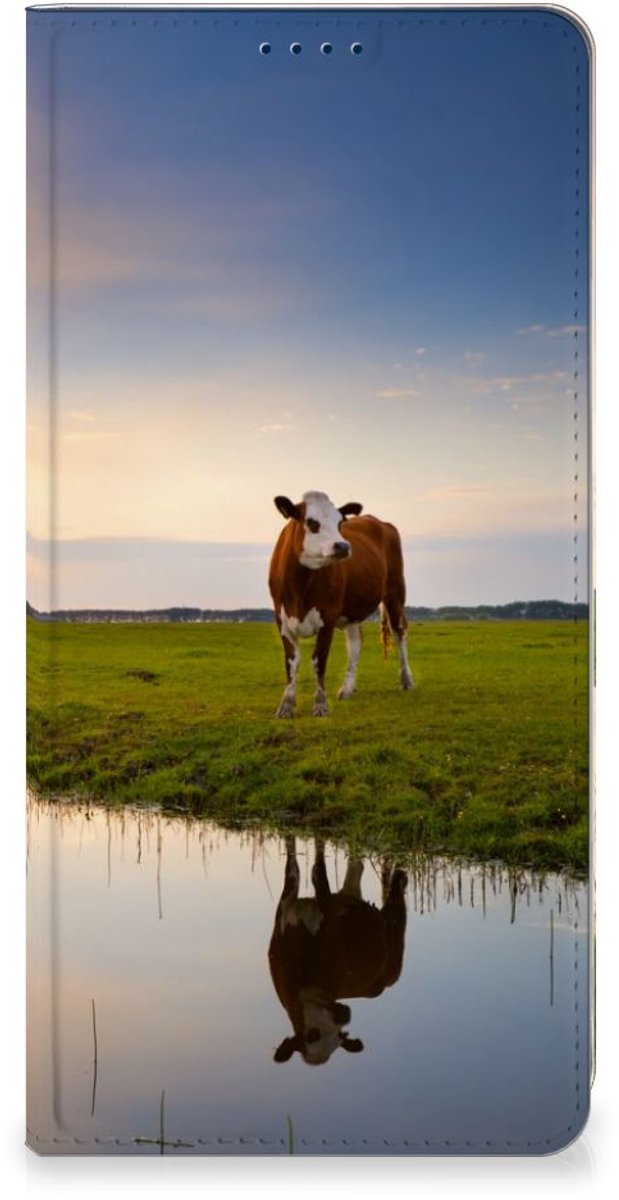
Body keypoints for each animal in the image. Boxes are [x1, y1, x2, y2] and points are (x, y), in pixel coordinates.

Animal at [268, 490, 414, 717]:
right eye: (311, 522)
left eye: (339, 523)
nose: (343, 546)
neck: (299, 587)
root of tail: (381, 522)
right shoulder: (282, 619)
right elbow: (291, 662)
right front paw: (286, 705)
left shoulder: (327, 617)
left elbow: (319, 660)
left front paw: (320, 705)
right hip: (352, 609)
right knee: (355, 643)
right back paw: (347, 689)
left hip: (395, 592)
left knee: (399, 632)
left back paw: (406, 680)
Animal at [268, 837, 408, 1066]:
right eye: (312, 1035)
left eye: (339, 1036)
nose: (344, 1015)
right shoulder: (285, 908)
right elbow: (293, 866)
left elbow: (318, 871)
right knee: (356, 868)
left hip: (395, 950)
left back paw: (400, 876)